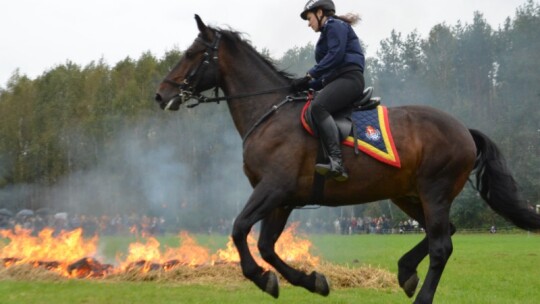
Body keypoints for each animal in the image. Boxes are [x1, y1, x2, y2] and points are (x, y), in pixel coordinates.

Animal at [153, 16, 540, 304]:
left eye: (191, 53)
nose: (161, 94)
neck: (270, 112)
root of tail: (463, 130)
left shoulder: (273, 189)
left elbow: (239, 230)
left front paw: (264, 279)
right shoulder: (283, 199)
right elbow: (266, 246)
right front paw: (311, 280)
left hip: (435, 191)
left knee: (441, 245)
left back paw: (420, 293)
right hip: (407, 195)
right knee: (444, 234)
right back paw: (405, 272)